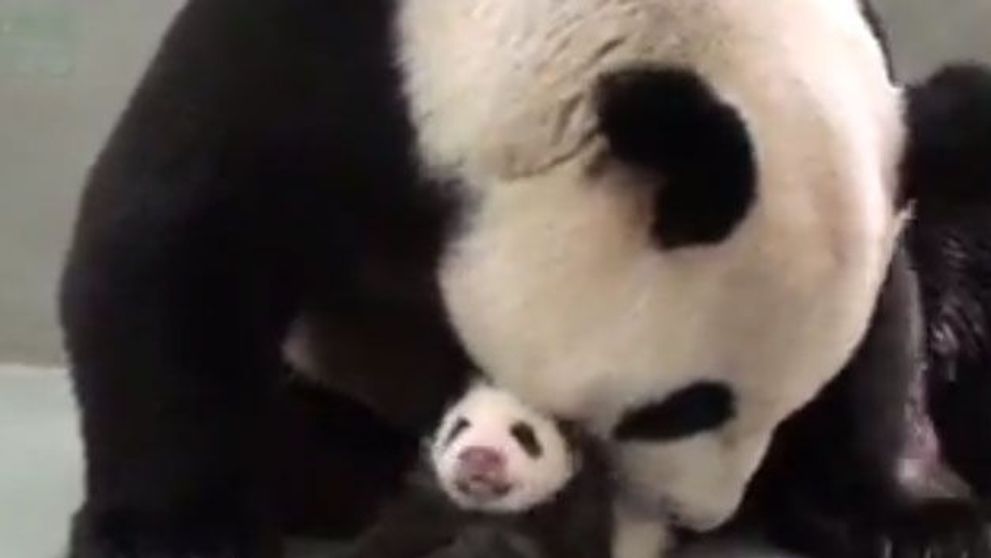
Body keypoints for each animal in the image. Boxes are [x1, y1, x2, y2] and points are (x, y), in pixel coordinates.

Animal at [58, 0, 991, 557]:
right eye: (679, 409)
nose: (702, 517)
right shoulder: (317, 52)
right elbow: (174, 235)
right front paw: (173, 538)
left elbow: (891, 306)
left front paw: (913, 517)